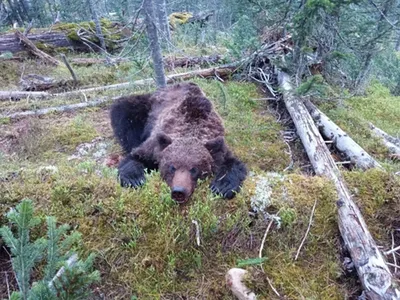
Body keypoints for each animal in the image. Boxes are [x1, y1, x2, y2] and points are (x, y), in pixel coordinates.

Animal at [110, 82, 247, 204]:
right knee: (124, 111)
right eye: (172, 167)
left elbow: (233, 164)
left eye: (194, 169)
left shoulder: (218, 145)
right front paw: (135, 179)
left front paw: (222, 187)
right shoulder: (155, 145)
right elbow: (135, 156)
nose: (179, 191)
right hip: (145, 107)